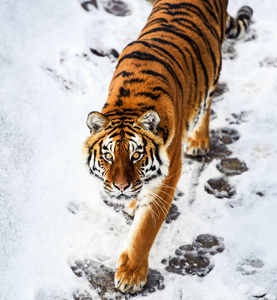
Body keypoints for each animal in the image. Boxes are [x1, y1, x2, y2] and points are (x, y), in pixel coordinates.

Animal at [82, 0, 252, 294]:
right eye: (108, 156)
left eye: (137, 156)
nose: (120, 187)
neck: (130, 104)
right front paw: (132, 203)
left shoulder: (169, 175)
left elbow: (145, 229)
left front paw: (131, 275)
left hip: (213, 74)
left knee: (207, 103)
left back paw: (199, 141)